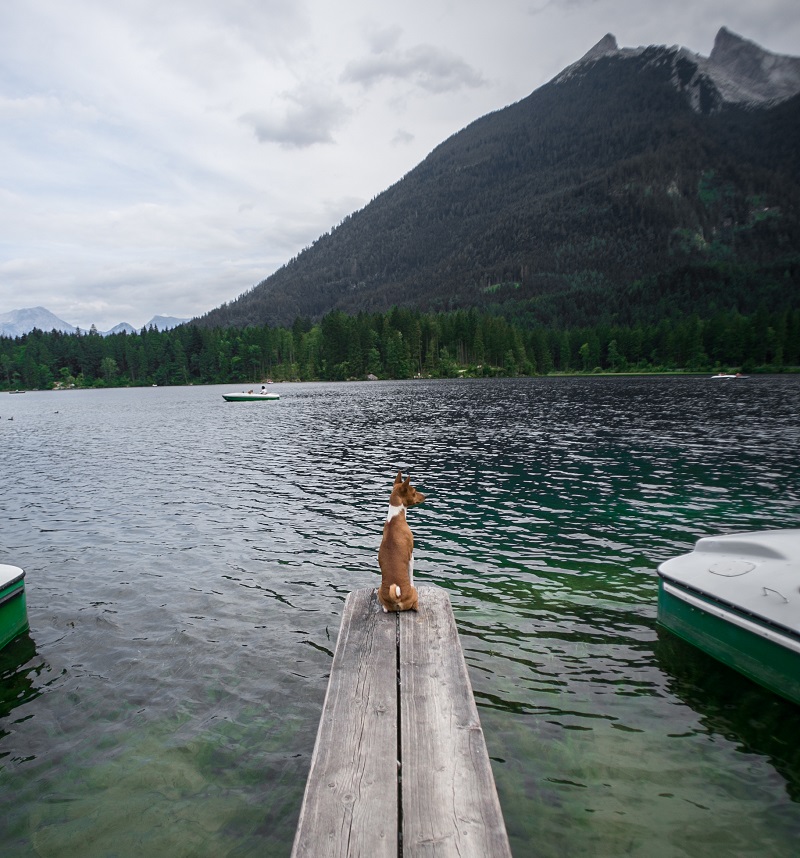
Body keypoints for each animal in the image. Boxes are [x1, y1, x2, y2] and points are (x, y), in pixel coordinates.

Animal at [376, 472, 424, 612]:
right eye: (414, 492)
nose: (425, 496)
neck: (395, 518)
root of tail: (396, 598)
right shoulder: (411, 556)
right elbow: (411, 575)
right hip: (414, 596)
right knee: (415, 605)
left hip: (380, 593)